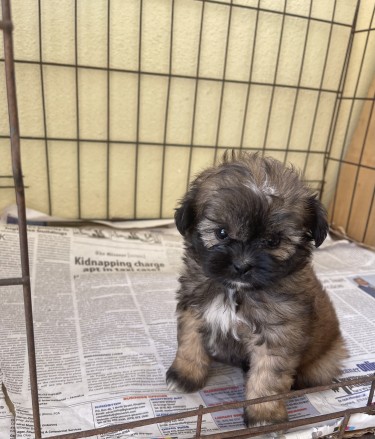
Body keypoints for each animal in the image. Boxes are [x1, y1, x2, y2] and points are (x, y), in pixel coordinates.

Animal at [167, 153, 350, 428]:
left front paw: (264, 415)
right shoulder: (194, 310)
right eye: (222, 233)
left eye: (273, 241)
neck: (236, 292)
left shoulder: (278, 335)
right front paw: (185, 375)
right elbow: (190, 344)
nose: (242, 265)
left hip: (323, 363)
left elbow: (268, 378)